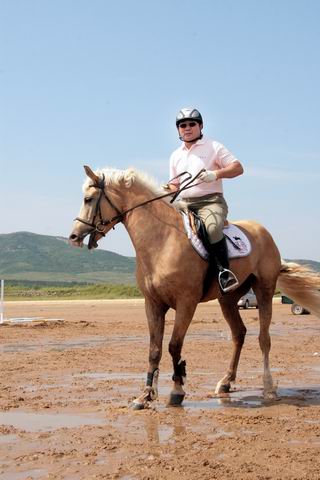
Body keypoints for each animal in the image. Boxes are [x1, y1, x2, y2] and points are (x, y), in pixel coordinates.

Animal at [69, 166, 320, 408]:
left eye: (88, 199)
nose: (73, 236)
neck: (162, 240)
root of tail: (262, 231)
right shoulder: (153, 304)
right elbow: (154, 350)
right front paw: (146, 395)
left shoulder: (186, 303)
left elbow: (174, 346)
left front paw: (177, 391)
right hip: (228, 298)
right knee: (239, 334)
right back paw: (226, 382)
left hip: (264, 290)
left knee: (263, 339)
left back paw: (268, 388)